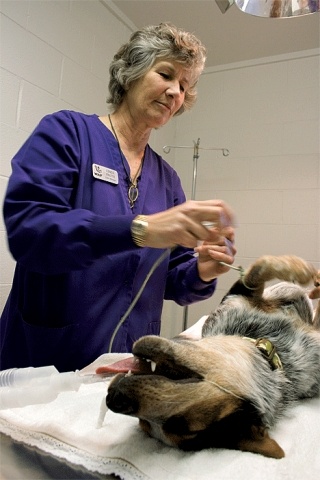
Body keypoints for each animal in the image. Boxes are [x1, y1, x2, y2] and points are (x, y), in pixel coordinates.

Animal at [105, 256, 320, 460]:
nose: (114, 399)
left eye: (182, 426)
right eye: (144, 424)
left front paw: (301, 272)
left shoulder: (236, 298)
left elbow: (259, 267)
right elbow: (256, 272)